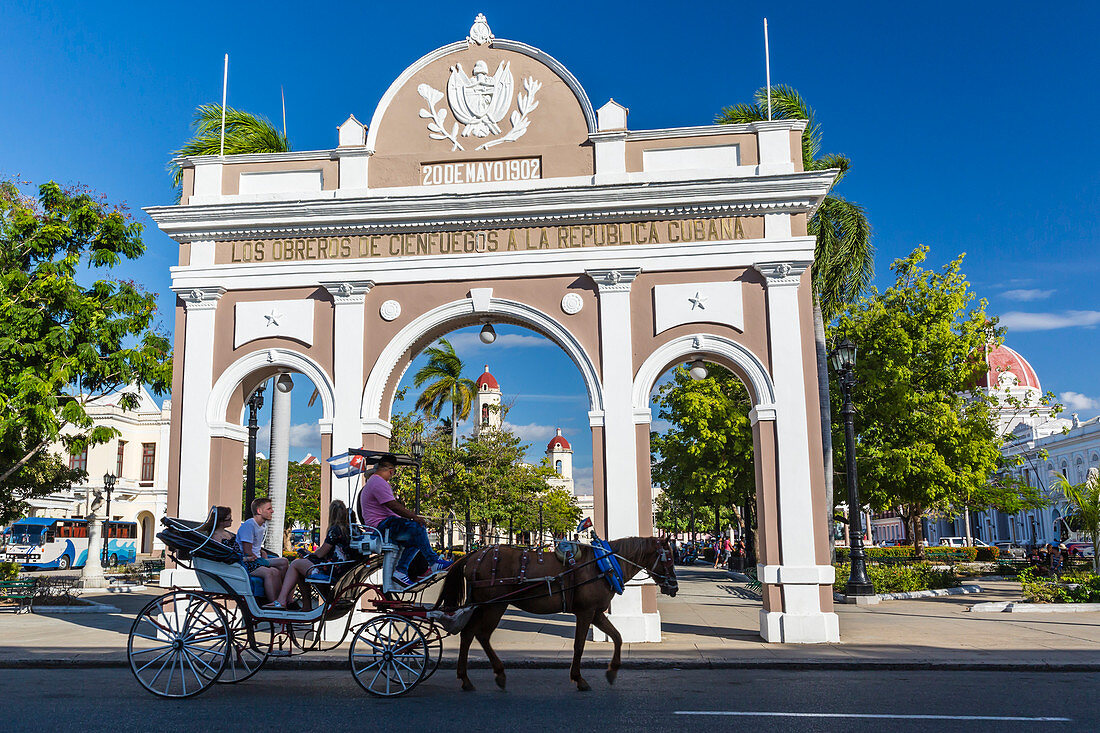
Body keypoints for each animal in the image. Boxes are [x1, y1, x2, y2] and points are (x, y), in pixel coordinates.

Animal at [433, 534, 673, 686]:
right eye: (668, 559)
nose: (674, 587)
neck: (604, 565)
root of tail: (473, 555)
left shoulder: (595, 612)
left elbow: (617, 636)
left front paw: (612, 671)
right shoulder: (586, 612)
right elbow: (579, 645)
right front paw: (579, 678)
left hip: (484, 605)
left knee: (469, 633)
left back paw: (468, 678)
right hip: (494, 604)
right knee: (480, 634)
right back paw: (492, 674)